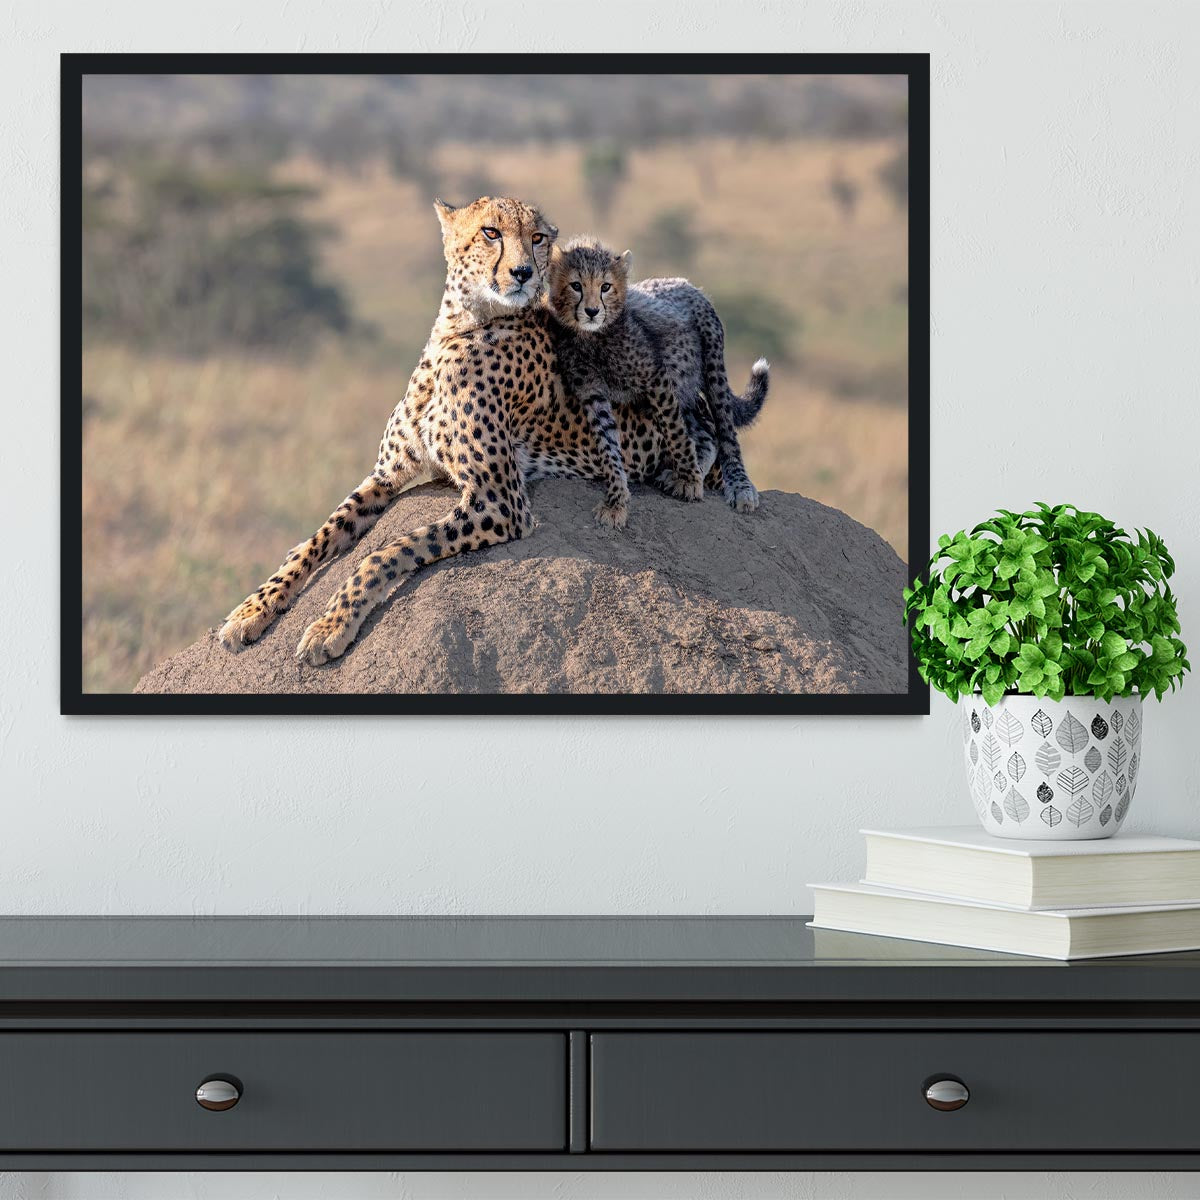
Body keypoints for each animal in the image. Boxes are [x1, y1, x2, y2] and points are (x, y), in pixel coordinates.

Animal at [218, 196, 680, 666]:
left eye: (537, 237)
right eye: (491, 232)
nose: (523, 273)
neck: (461, 326)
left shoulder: (501, 502)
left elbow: (388, 550)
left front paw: (331, 625)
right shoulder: (386, 475)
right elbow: (323, 534)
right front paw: (253, 608)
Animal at [547, 237, 770, 514]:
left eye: (605, 287)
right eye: (576, 286)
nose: (591, 311)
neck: (592, 337)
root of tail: (684, 282)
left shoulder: (656, 379)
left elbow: (676, 433)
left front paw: (690, 481)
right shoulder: (592, 392)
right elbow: (608, 443)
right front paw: (616, 499)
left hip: (711, 367)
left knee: (725, 430)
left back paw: (739, 487)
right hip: (681, 387)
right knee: (705, 432)